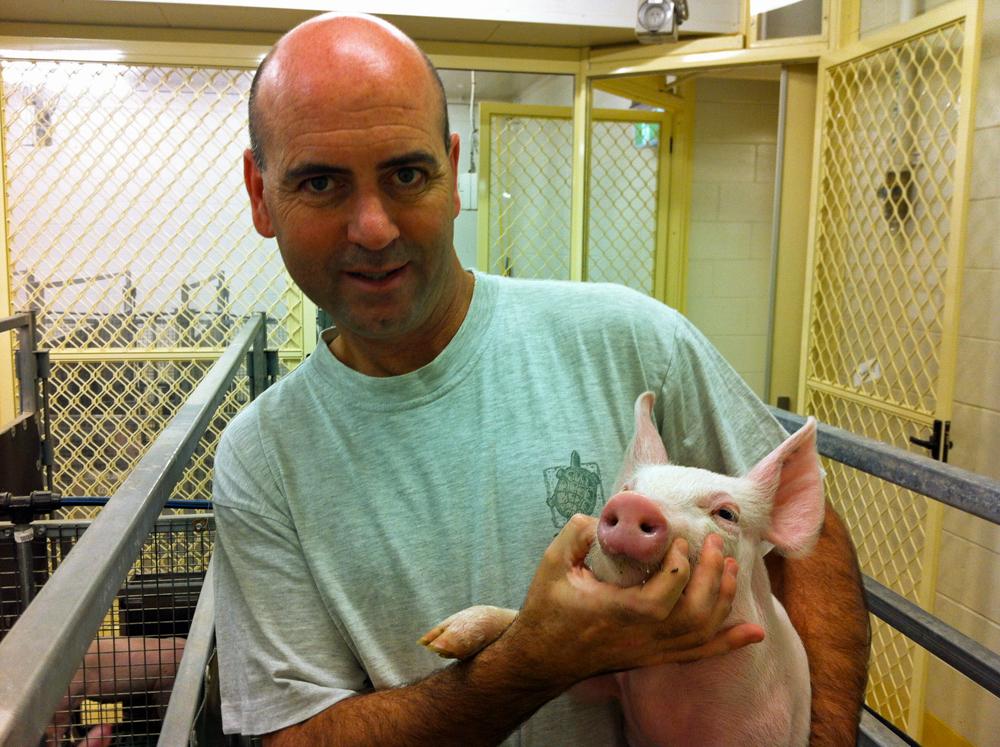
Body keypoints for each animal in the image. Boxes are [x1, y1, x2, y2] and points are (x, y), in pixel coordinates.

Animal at [418, 392, 824, 747]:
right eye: (628, 488)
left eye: (726, 513)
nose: (633, 504)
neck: (679, 681)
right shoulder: (613, 684)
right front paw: (441, 639)